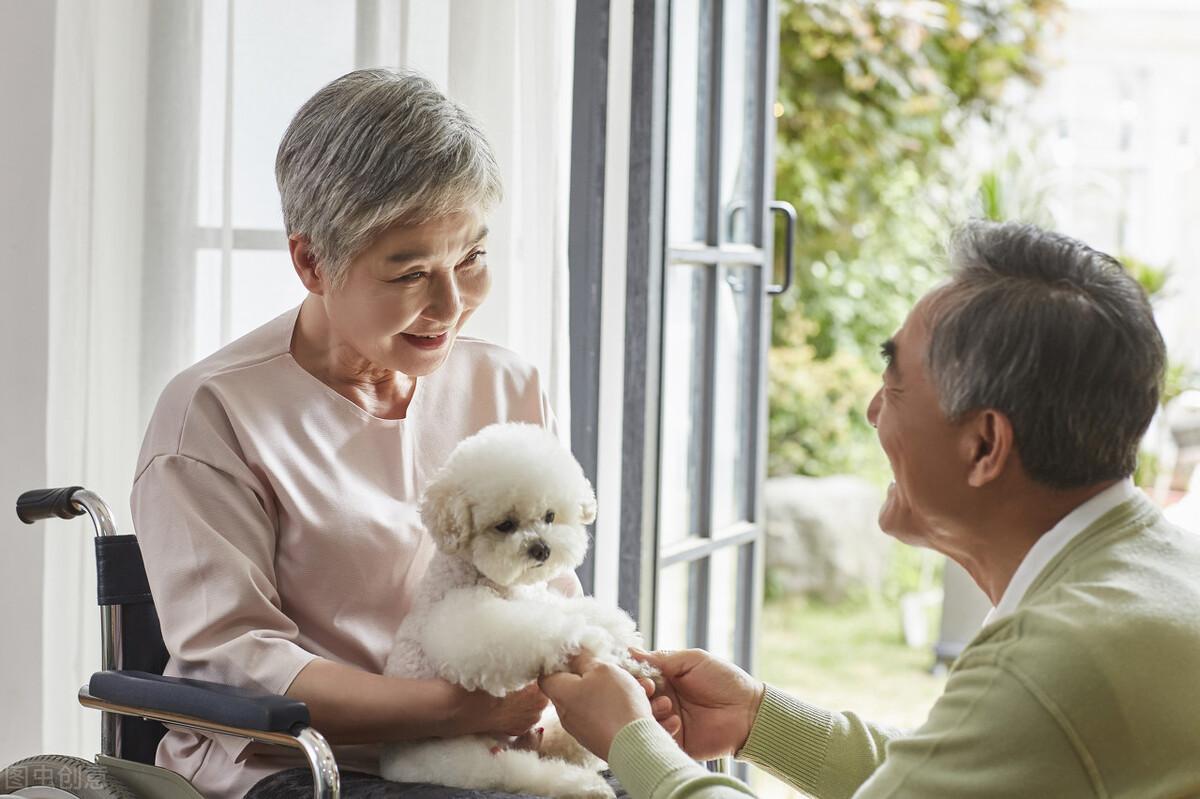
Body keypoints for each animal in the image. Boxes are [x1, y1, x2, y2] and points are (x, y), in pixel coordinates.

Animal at [381, 422, 648, 791]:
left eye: (549, 516)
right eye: (505, 525)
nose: (541, 549)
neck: (495, 581)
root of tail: (389, 763)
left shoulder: (539, 599)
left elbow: (574, 611)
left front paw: (621, 642)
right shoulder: (462, 621)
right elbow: (531, 633)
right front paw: (578, 641)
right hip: (458, 758)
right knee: (516, 770)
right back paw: (580, 785)